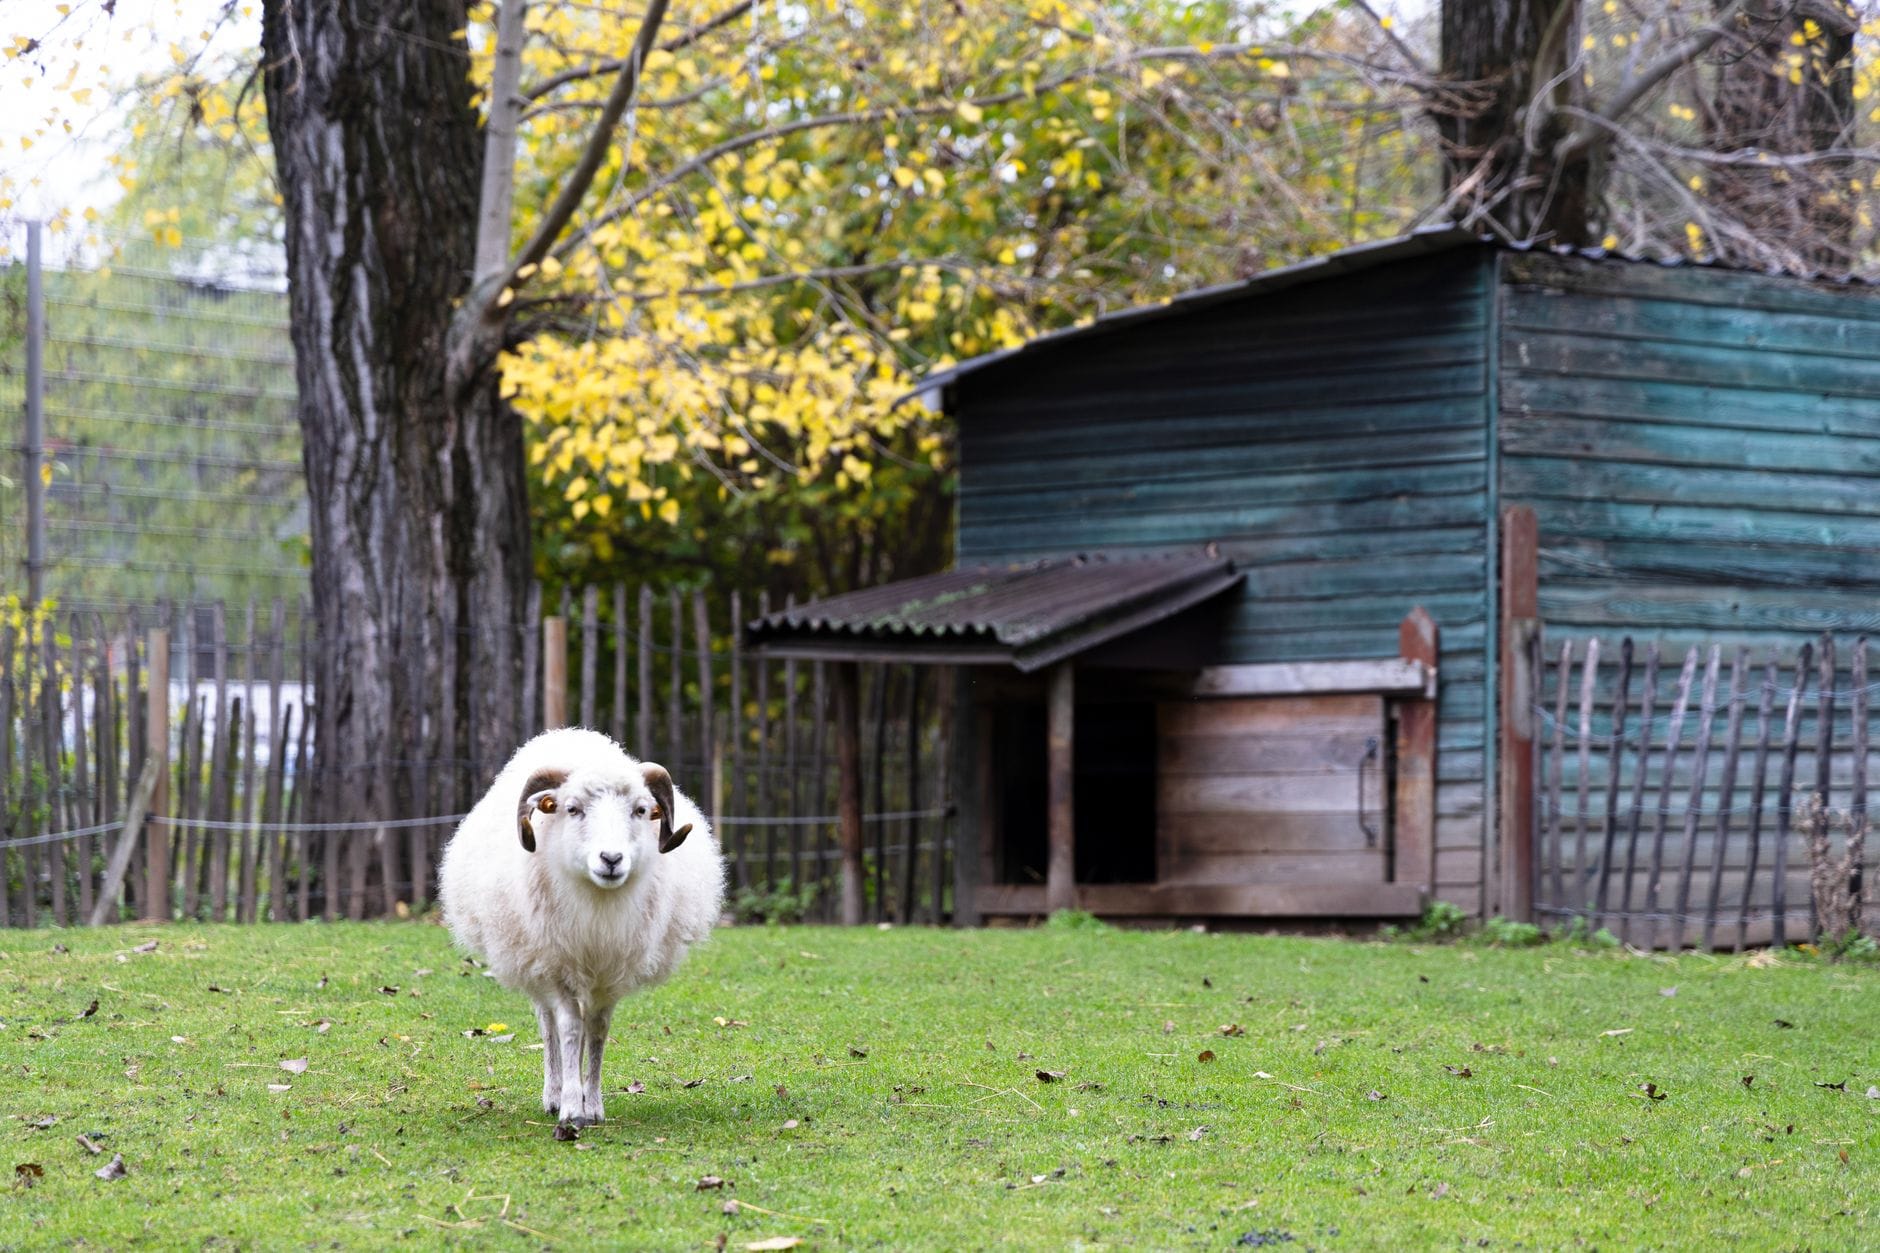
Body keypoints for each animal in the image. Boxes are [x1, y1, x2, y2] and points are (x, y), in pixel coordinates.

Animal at [438, 727, 724, 1127]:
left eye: (640, 810)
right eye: (572, 809)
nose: (611, 859)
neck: (598, 907)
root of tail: (570, 734)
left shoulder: (611, 973)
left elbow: (598, 1031)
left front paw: (594, 1105)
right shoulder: (557, 968)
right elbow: (570, 1029)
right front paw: (572, 1107)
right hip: (533, 962)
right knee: (549, 1027)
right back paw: (554, 1094)